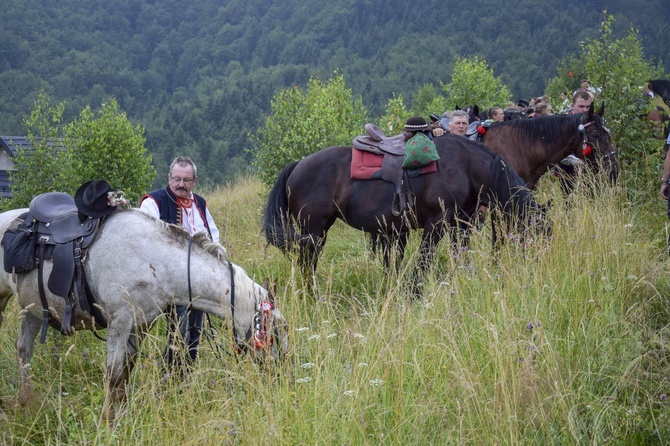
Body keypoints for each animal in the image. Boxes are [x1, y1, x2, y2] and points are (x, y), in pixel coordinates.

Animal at [0, 208, 288, 422]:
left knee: (24, 350)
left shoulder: (140, 325)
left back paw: (25, 400)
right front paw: (108, 421)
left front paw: (123, 415)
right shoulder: (119, 323)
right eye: (272, 331)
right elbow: (114, 374)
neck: (153, 261)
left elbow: (125, 374)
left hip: (32, 310)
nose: (279, 375)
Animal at [262, 136, 552, 290]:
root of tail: (298, 164)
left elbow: (460, 256)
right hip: (313, 231)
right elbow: (424, 261)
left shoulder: (461, 224)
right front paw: (415, 292)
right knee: (306, 264)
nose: (540, 269)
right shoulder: (436, 224)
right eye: (539, 233)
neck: (465, 167)